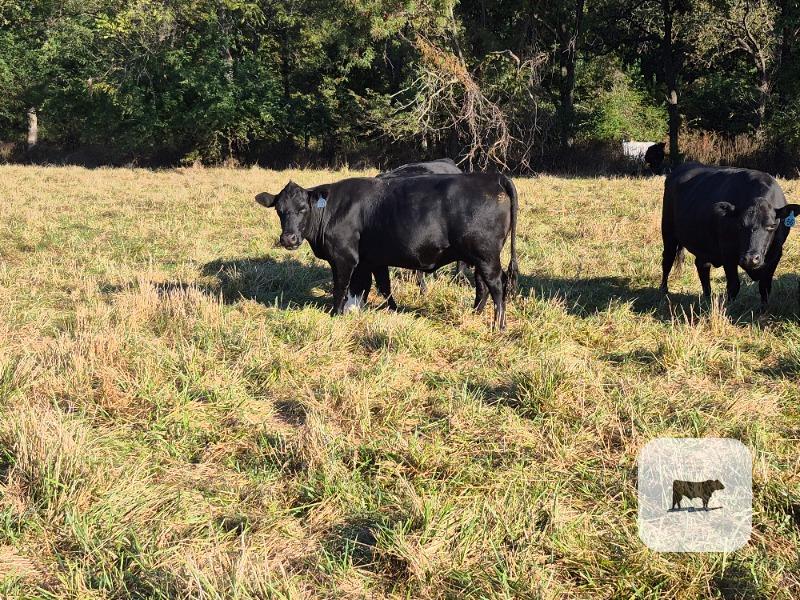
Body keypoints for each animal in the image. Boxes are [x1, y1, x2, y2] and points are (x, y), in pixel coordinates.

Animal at [255, 173, 519, 329]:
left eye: (302, 208)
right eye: (279, 210)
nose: (288, 238)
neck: (331, 210)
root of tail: (493, 177)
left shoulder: (344, 258)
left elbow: (342, 287)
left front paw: (337, 314)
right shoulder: (370, 260)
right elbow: (375, 286)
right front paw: (380, 310)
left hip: (486, 255)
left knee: (497, 285)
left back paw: (499, 324)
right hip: (479, 257)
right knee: (482, 286)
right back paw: (475, 314)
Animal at [660, 163, 800, 309]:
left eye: (772, 226)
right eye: (740, 225)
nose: (750, 259)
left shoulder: (776, 255)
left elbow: (765, 286)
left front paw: (764, 310)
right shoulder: (728, 253)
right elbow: (733, 285)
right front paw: (729, 308)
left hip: (703, 244)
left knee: (702, 266)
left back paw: (707, 297)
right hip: (668, 232)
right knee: (667, 260)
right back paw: (663, 292)